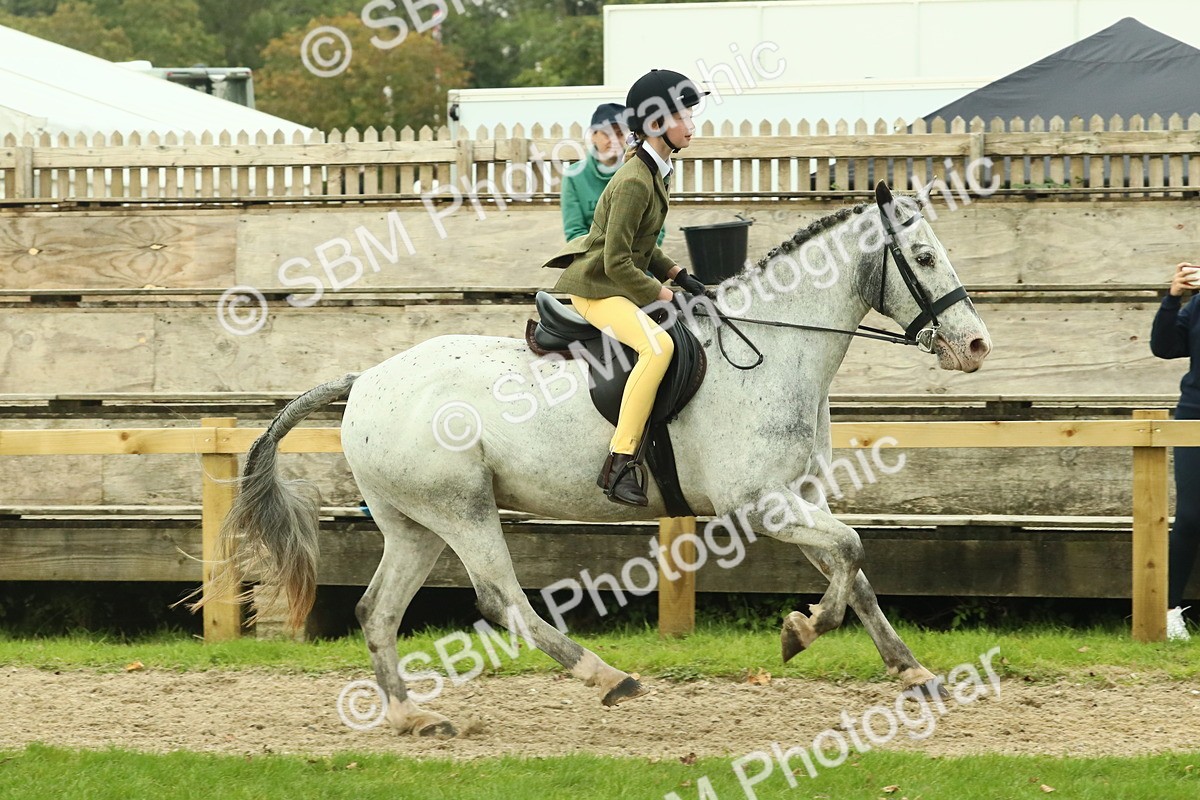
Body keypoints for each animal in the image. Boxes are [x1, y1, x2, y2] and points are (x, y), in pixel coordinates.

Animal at [200, 182, 991, 738]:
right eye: (924, 258)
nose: (977, 346)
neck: (775, 347)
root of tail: (364, 379)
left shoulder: (796, 498)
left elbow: (854, 574)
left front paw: (912, 671)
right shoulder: (758, 505)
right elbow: (852, 552)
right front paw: (800, 632)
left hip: (415, 524)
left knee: (377, 610)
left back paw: (410, 718)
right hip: (462, 508)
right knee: (502, 601)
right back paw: (606, 677)